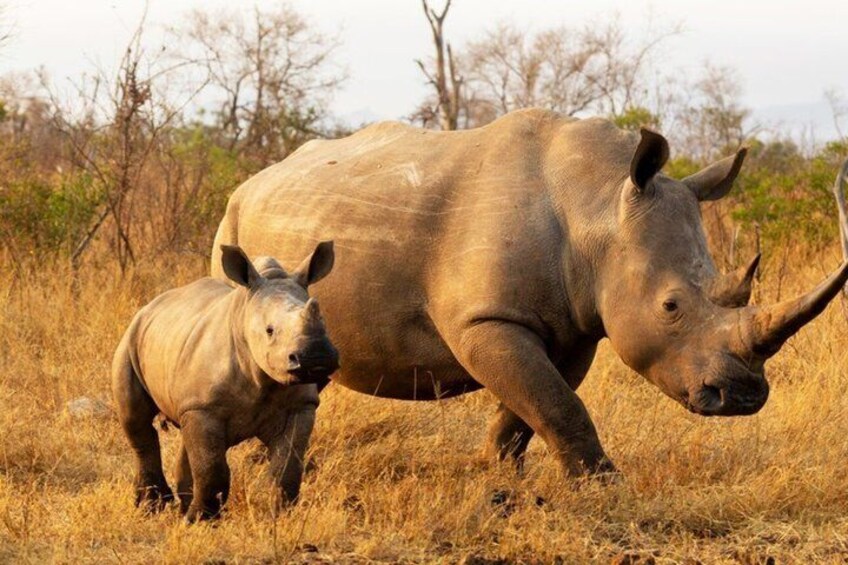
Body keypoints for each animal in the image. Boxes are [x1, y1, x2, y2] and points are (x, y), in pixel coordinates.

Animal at [112, 243, 338, 521]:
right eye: (270, 330)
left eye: (325, 322)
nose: (316, 357)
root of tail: (151, 305)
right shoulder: (204, 407)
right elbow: (211, 468)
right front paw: (200, 521)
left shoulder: (301, 405)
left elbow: (287, 466)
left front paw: (280, 516)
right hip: (130, 339)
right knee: (137, 421)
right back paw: (151, 508)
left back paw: (179, 505)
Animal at [211, 109, 848, 476]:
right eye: (670, 307)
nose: (742, 396)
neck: (597, 202)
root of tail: (252, 179)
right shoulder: (486, 320)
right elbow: (556, 403)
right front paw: (601, 485)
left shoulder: (575, 326)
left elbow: (534, 403)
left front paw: (495, 475)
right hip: (233, 228)